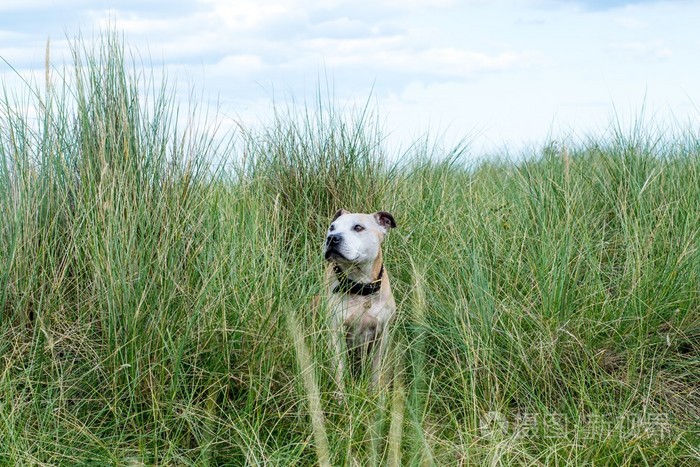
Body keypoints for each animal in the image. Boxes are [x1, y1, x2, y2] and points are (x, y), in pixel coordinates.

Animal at [324, 209, 396, 392]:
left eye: (358, 227)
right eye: (332, 227)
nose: (332, 238)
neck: (360, 287)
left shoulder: (381, 335)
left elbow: (376, 372)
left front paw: (376, 395)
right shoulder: (336, 333)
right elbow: (339, 371)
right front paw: (340, 396)